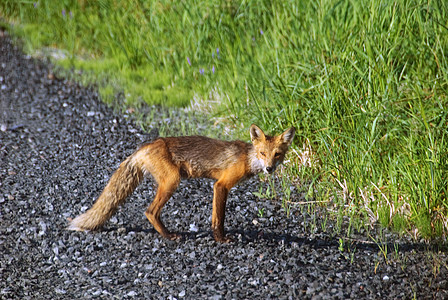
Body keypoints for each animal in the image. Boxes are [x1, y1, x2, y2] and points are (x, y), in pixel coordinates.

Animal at [69, 123, 294, 243]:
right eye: (262, 153)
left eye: (277, 155)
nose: (269, 168)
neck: (247, 158)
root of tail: (145, 147)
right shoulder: (221, 185)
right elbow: (219, 218)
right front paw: (221, 239)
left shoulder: (219, 186)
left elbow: (216, 216)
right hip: (171, 181)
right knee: (150, 211)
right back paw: (168, 235)